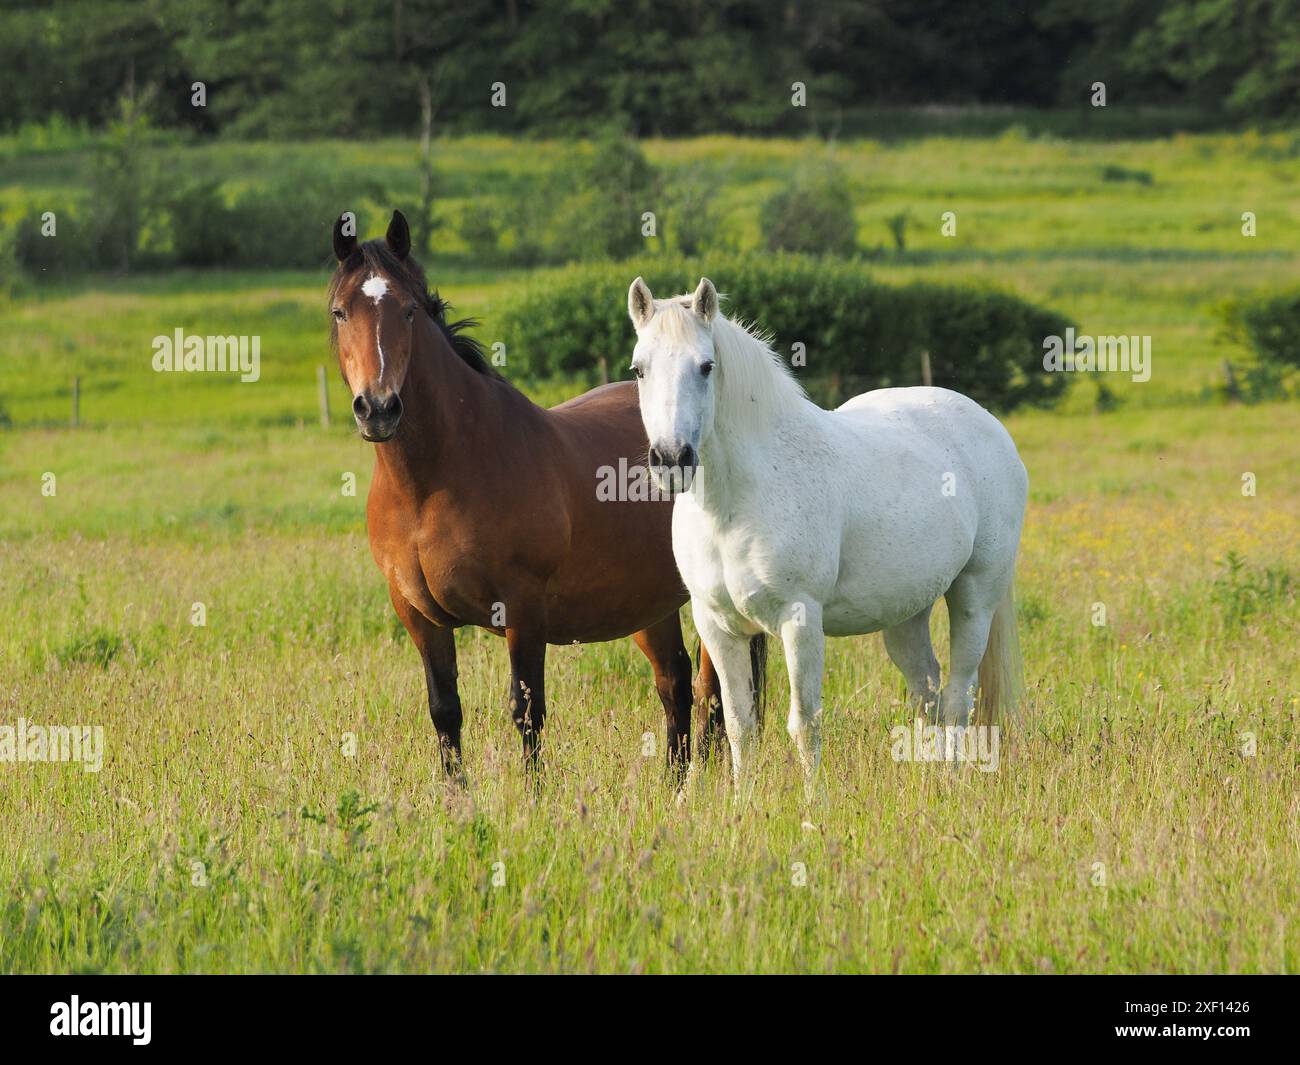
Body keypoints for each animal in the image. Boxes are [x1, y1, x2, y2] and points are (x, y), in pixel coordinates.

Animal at [327, 210, 763, 780]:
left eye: (407, 310)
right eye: (339, 312)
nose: (378, 408)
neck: (431, 484)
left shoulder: (522, 610)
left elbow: (526, 711)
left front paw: (533, 796)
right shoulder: (419, 617)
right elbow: (445, 712)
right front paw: (455, 796)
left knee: (716, 693)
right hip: (652, 603)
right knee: (676, 685)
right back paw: (673, 785)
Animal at [626, 275, 1027, 791]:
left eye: (706, 366)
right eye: (639, 369)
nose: (672, 459)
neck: (736, 501)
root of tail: (989, 424)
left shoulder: (800, 620)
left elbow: (804, 722)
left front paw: (813, 804)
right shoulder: (717, 625)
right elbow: (738, 724)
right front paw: (743, 802)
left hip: (975, 595)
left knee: (959, 695)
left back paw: (951, 783)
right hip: (905, 613)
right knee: (928, 692)